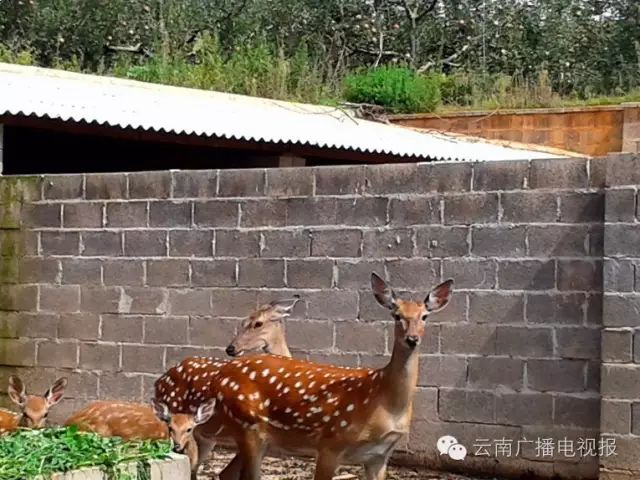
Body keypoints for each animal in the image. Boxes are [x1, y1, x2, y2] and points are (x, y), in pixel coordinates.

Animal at [156, 274, 456, 480]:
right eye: (396, 315)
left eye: (425, 316)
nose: (412, 339)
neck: (384, 399)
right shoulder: (330, 443)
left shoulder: (380, 456)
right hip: (247, 429)